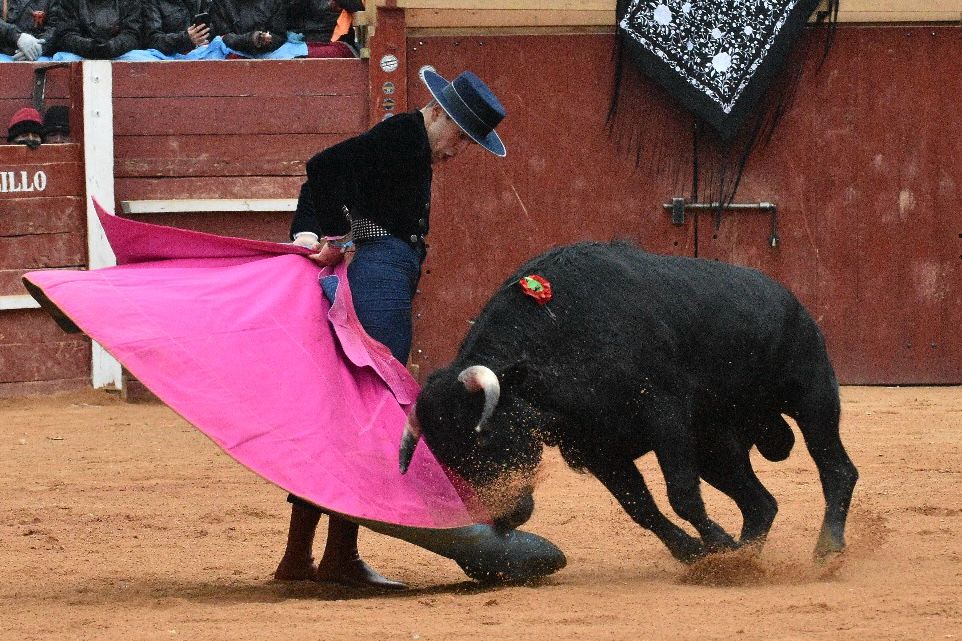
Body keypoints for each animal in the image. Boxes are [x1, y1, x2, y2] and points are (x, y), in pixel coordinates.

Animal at [398, 242, 856, 564]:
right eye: (443, 456)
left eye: (484, 434)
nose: (505, 518)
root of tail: (790, 299)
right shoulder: (597, 450)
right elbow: (641, 508)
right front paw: (700, 553)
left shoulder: (666, 417)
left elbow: (681, 495)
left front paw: (715, 544)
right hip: (716, 446)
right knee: (761, 504)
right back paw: (745, 559)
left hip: (812, 397)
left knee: (836, 469)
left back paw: (827, 551)